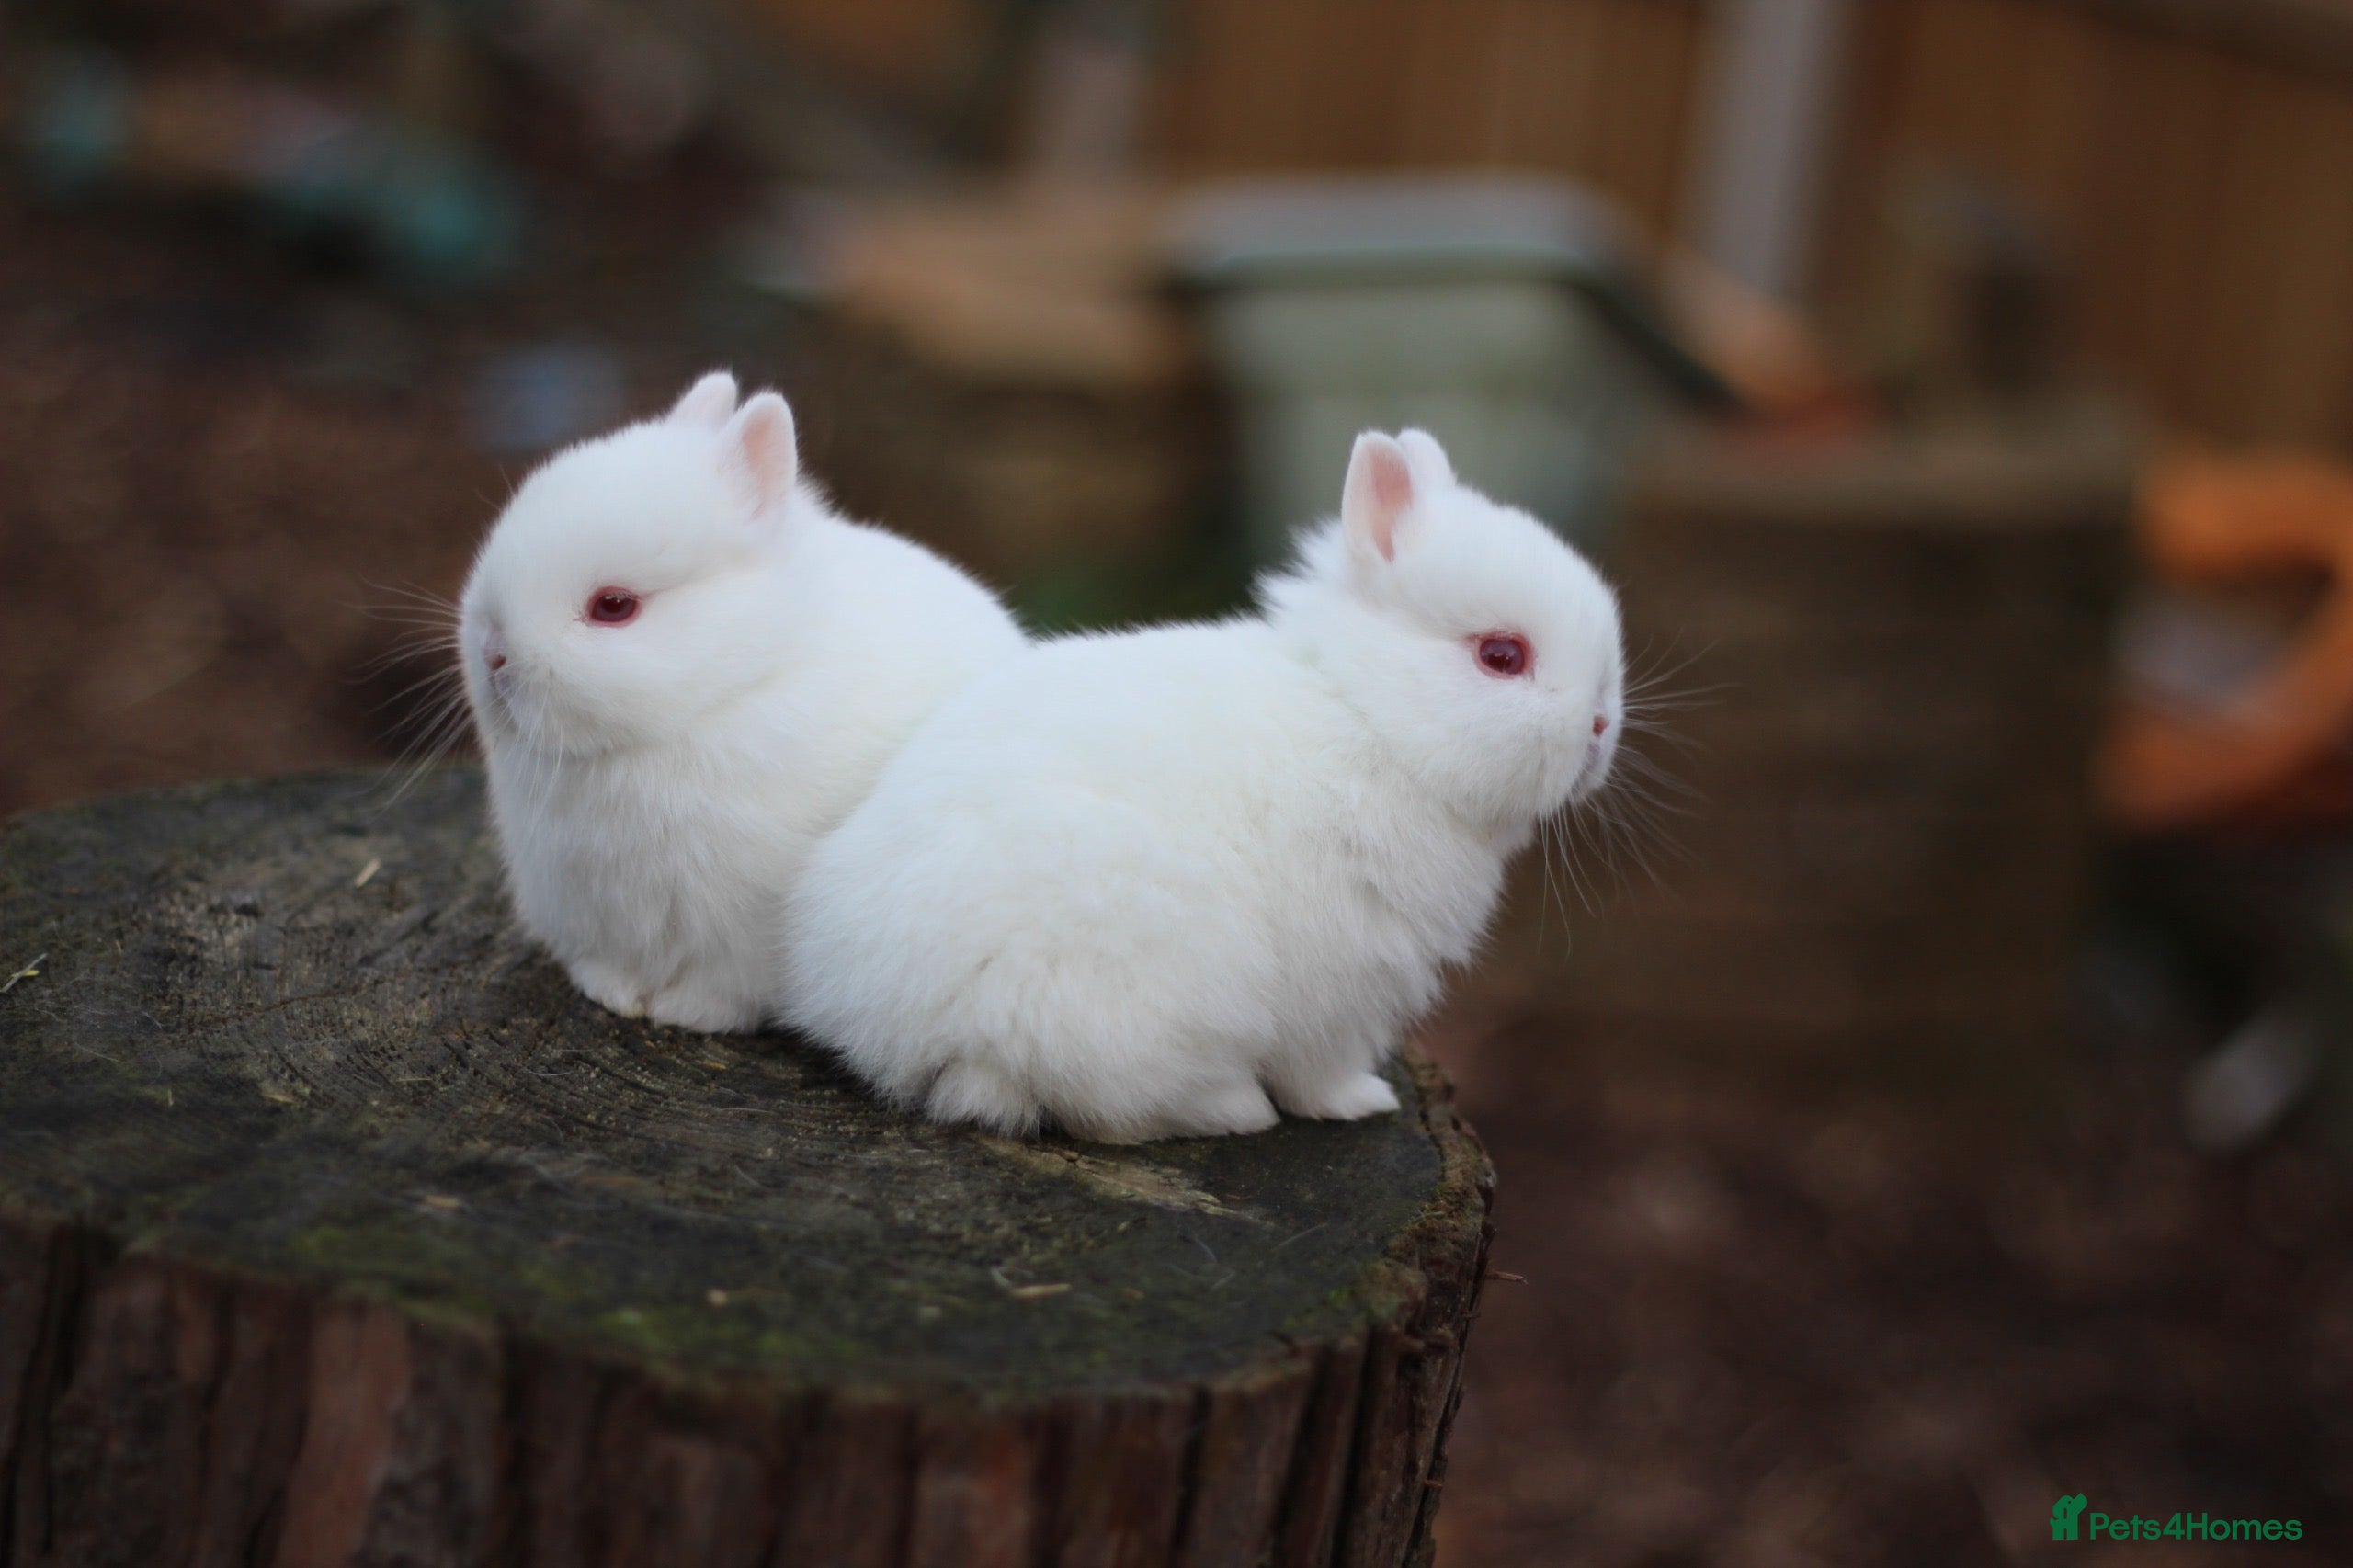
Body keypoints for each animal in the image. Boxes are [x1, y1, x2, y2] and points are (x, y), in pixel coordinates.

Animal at [459, 371, 1026, 1033]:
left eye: (614, 606)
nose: (493, 654)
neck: (730, 687)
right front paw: (615, 995)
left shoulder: (746, 935)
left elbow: (726, 991)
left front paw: (684, 1013)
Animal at [779, 428, 1623, 1142]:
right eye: (1501, 656)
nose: (1599, 727)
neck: (1371, 718)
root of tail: (909, 1031)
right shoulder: (1340, 984)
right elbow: (1318, 1069)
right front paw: (1362, 1103)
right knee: (1111, 1105)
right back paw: (1236, 1110)